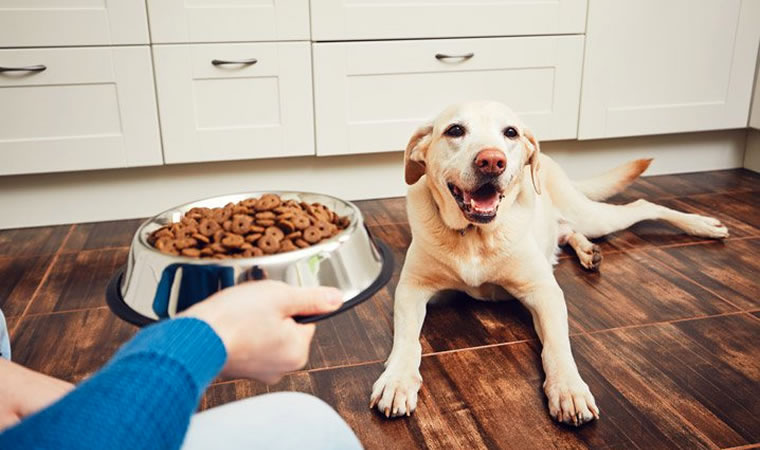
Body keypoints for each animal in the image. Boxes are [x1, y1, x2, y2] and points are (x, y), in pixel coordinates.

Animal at [370, 99, 732, 426]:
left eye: (511, 132)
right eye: (455, 130)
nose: (492, 161)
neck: (476, 236)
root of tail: (548, 159)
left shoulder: (544, 292)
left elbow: (557, 345)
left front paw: (569, 390)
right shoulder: (412, 289)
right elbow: (408, 341)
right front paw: (397, 380)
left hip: (591, 215)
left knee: (642, 205)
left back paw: (702, 225)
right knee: (567, 232)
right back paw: (588, 252)